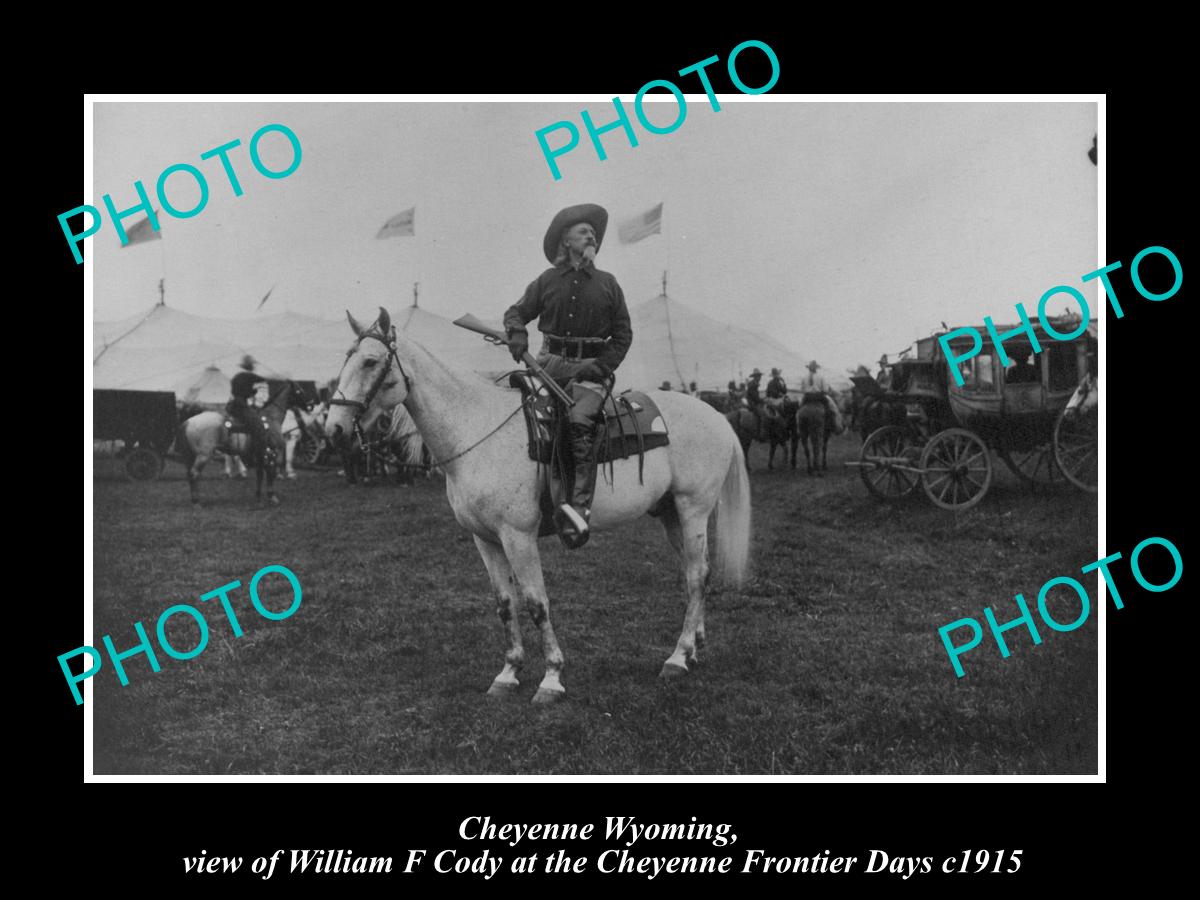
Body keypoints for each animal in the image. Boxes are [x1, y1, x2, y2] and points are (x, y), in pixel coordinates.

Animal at [180, 381, 309, 508]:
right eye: (299, 391)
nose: (309, 405)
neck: (271, 419)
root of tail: (188, 421)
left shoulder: (261, 456)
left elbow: (260, 475)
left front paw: (258, 498)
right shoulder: (273, 453)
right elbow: (270, 474)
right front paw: (272, 497)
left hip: (191, 456)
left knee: (190, 474)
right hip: (203, 456)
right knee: (194, 474)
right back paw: (196, 502)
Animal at [324, 309, 744, 705]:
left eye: (371, 361)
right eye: (346, 357)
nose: (334, 429)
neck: (476, 428)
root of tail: (717, 416)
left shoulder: (518, 536)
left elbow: (536, 602)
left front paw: (552, 678)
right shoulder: (485, 539)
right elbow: (505, 603)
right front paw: (508, 673)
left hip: (693, 510)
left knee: (696, 576)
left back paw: (677, 657)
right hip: (671, 514)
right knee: (696, 572)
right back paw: (694, 648)